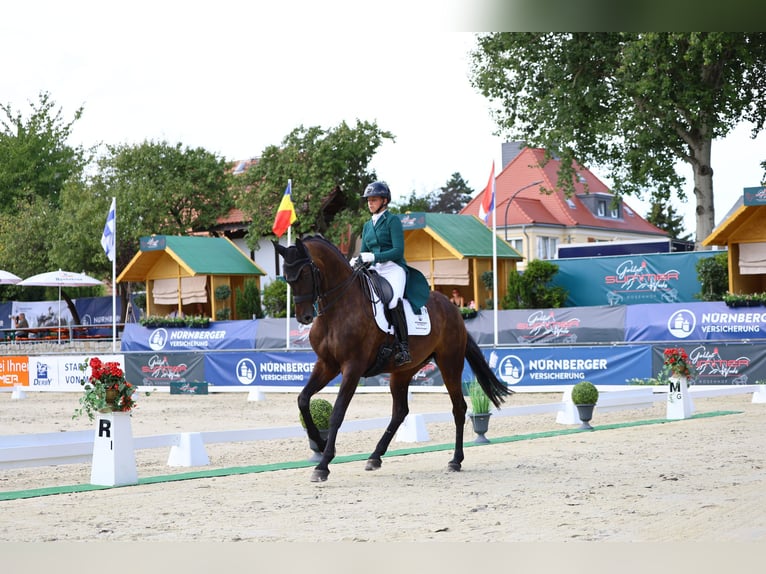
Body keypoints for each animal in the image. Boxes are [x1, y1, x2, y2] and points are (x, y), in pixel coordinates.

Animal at [272, 236, 512, 484]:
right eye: (287, 278)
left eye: (305, 274)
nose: (304, 317)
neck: (338, 309)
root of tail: (454, 309)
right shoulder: (326, 365)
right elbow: (303, 399)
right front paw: (320, 444)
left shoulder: (352, 368)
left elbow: (337, 413)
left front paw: (323, 464)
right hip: (403, 371)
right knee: (400, 411)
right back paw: (375, 457)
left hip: (449, 363)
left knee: (459, 408)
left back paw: (455, 460)